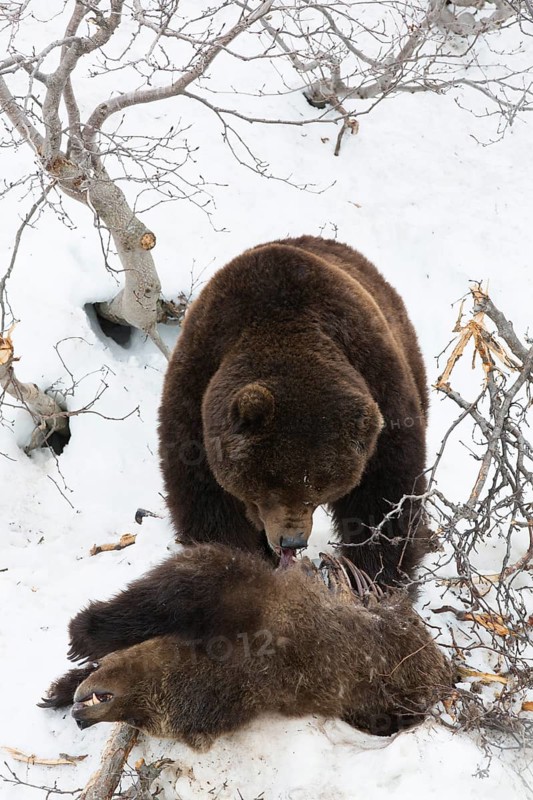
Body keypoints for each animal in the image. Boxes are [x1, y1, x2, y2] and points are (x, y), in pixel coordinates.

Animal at [158, 236, 429, 585]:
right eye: (269, 485)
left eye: (318, 489)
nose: (291, 541)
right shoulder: (197, 389)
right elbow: (207, 499)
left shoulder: (377, 382)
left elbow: (385, 497)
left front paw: (374, 575)